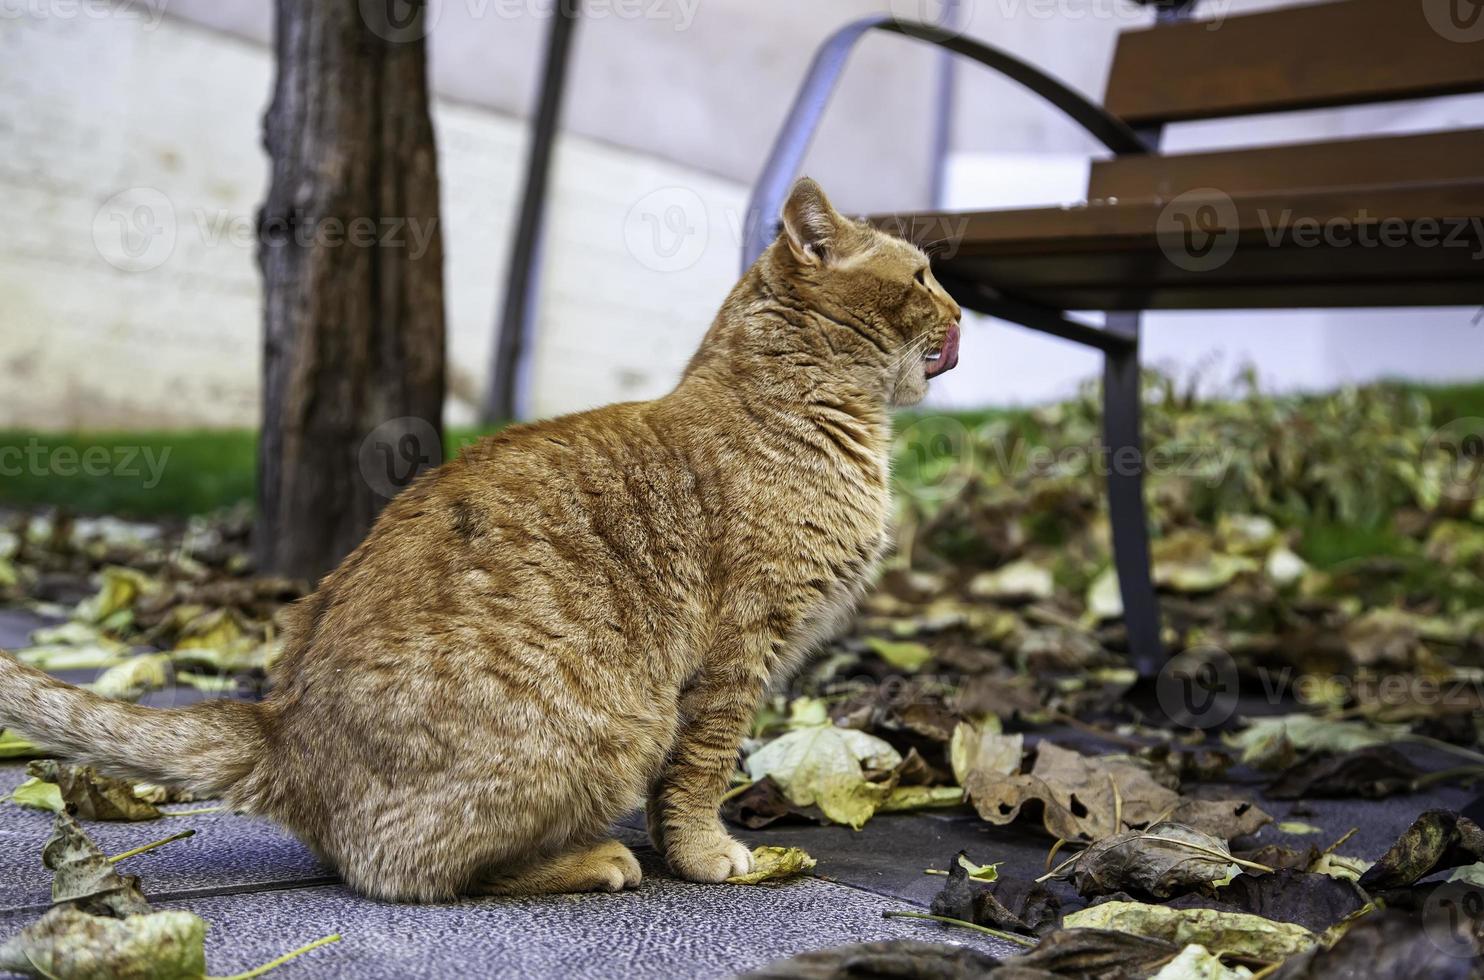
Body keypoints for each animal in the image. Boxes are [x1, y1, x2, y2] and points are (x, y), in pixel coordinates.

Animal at [0, 179, 967, 896]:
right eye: (922, 278)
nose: (962, 314)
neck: (797, 408)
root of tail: (278, 726)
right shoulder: (735, 657)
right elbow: (700, 772)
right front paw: (703, 854)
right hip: (613, 729)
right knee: (406, 871)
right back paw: (593, 859)